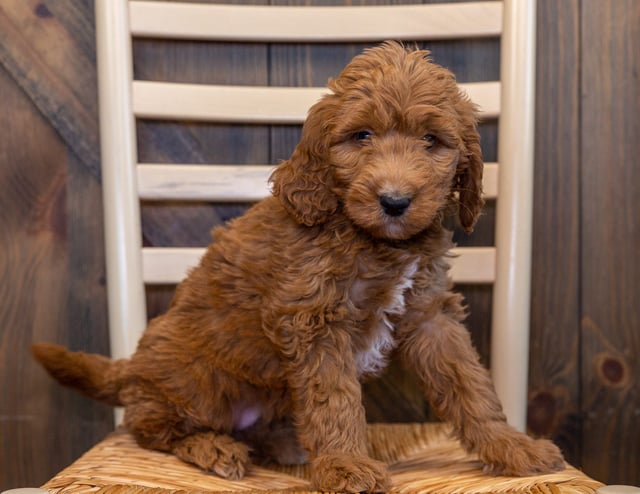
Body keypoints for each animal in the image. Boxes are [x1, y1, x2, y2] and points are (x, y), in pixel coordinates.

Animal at [33, 43, 564, 494]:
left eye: (431, 140)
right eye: (361, 136)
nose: (394, 201)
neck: (368, 239)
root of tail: (130, 370)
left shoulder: (430, 315)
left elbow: (471, 387)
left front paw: (512, 447)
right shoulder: (314, 320)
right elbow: (335, 399)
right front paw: (346, 465)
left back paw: (285, 443)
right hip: (196, 382)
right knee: (150, 427)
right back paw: (215, 447)